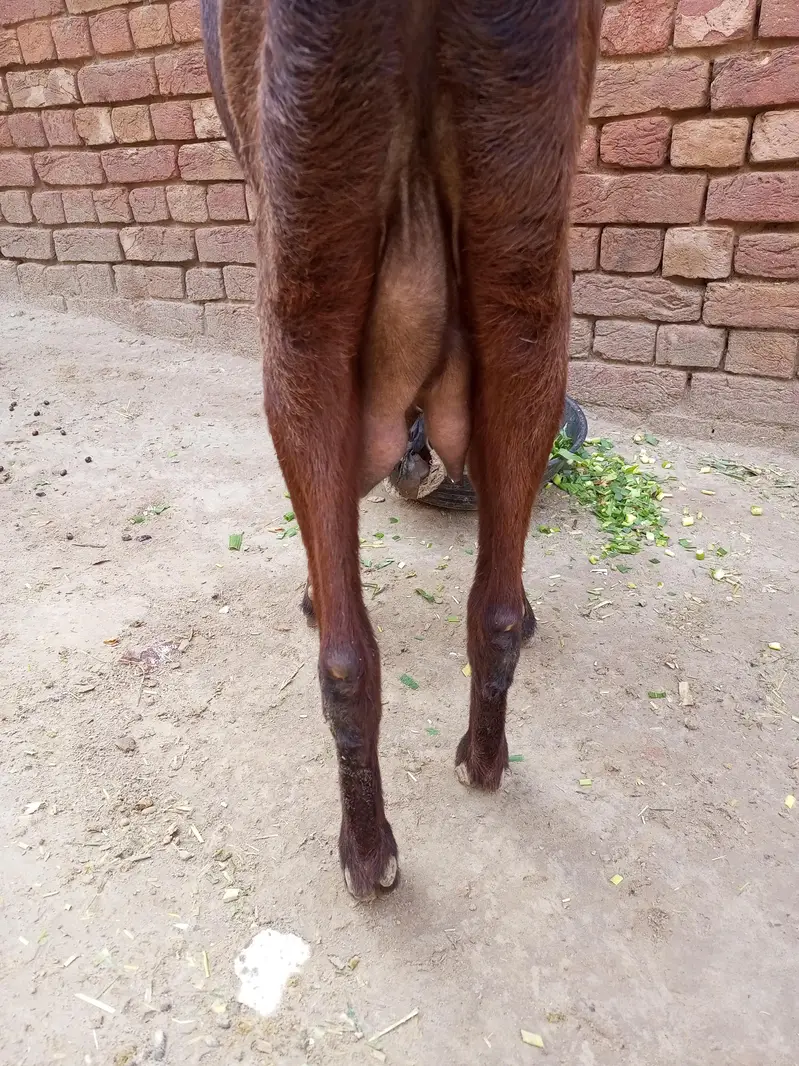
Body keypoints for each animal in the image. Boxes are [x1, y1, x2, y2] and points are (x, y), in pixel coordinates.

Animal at [201, 0, 601, 900]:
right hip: (521, 278)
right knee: (489, 602)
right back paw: (483, 754)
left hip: (301, 293)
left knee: (345, 658)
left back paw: (365, 846)